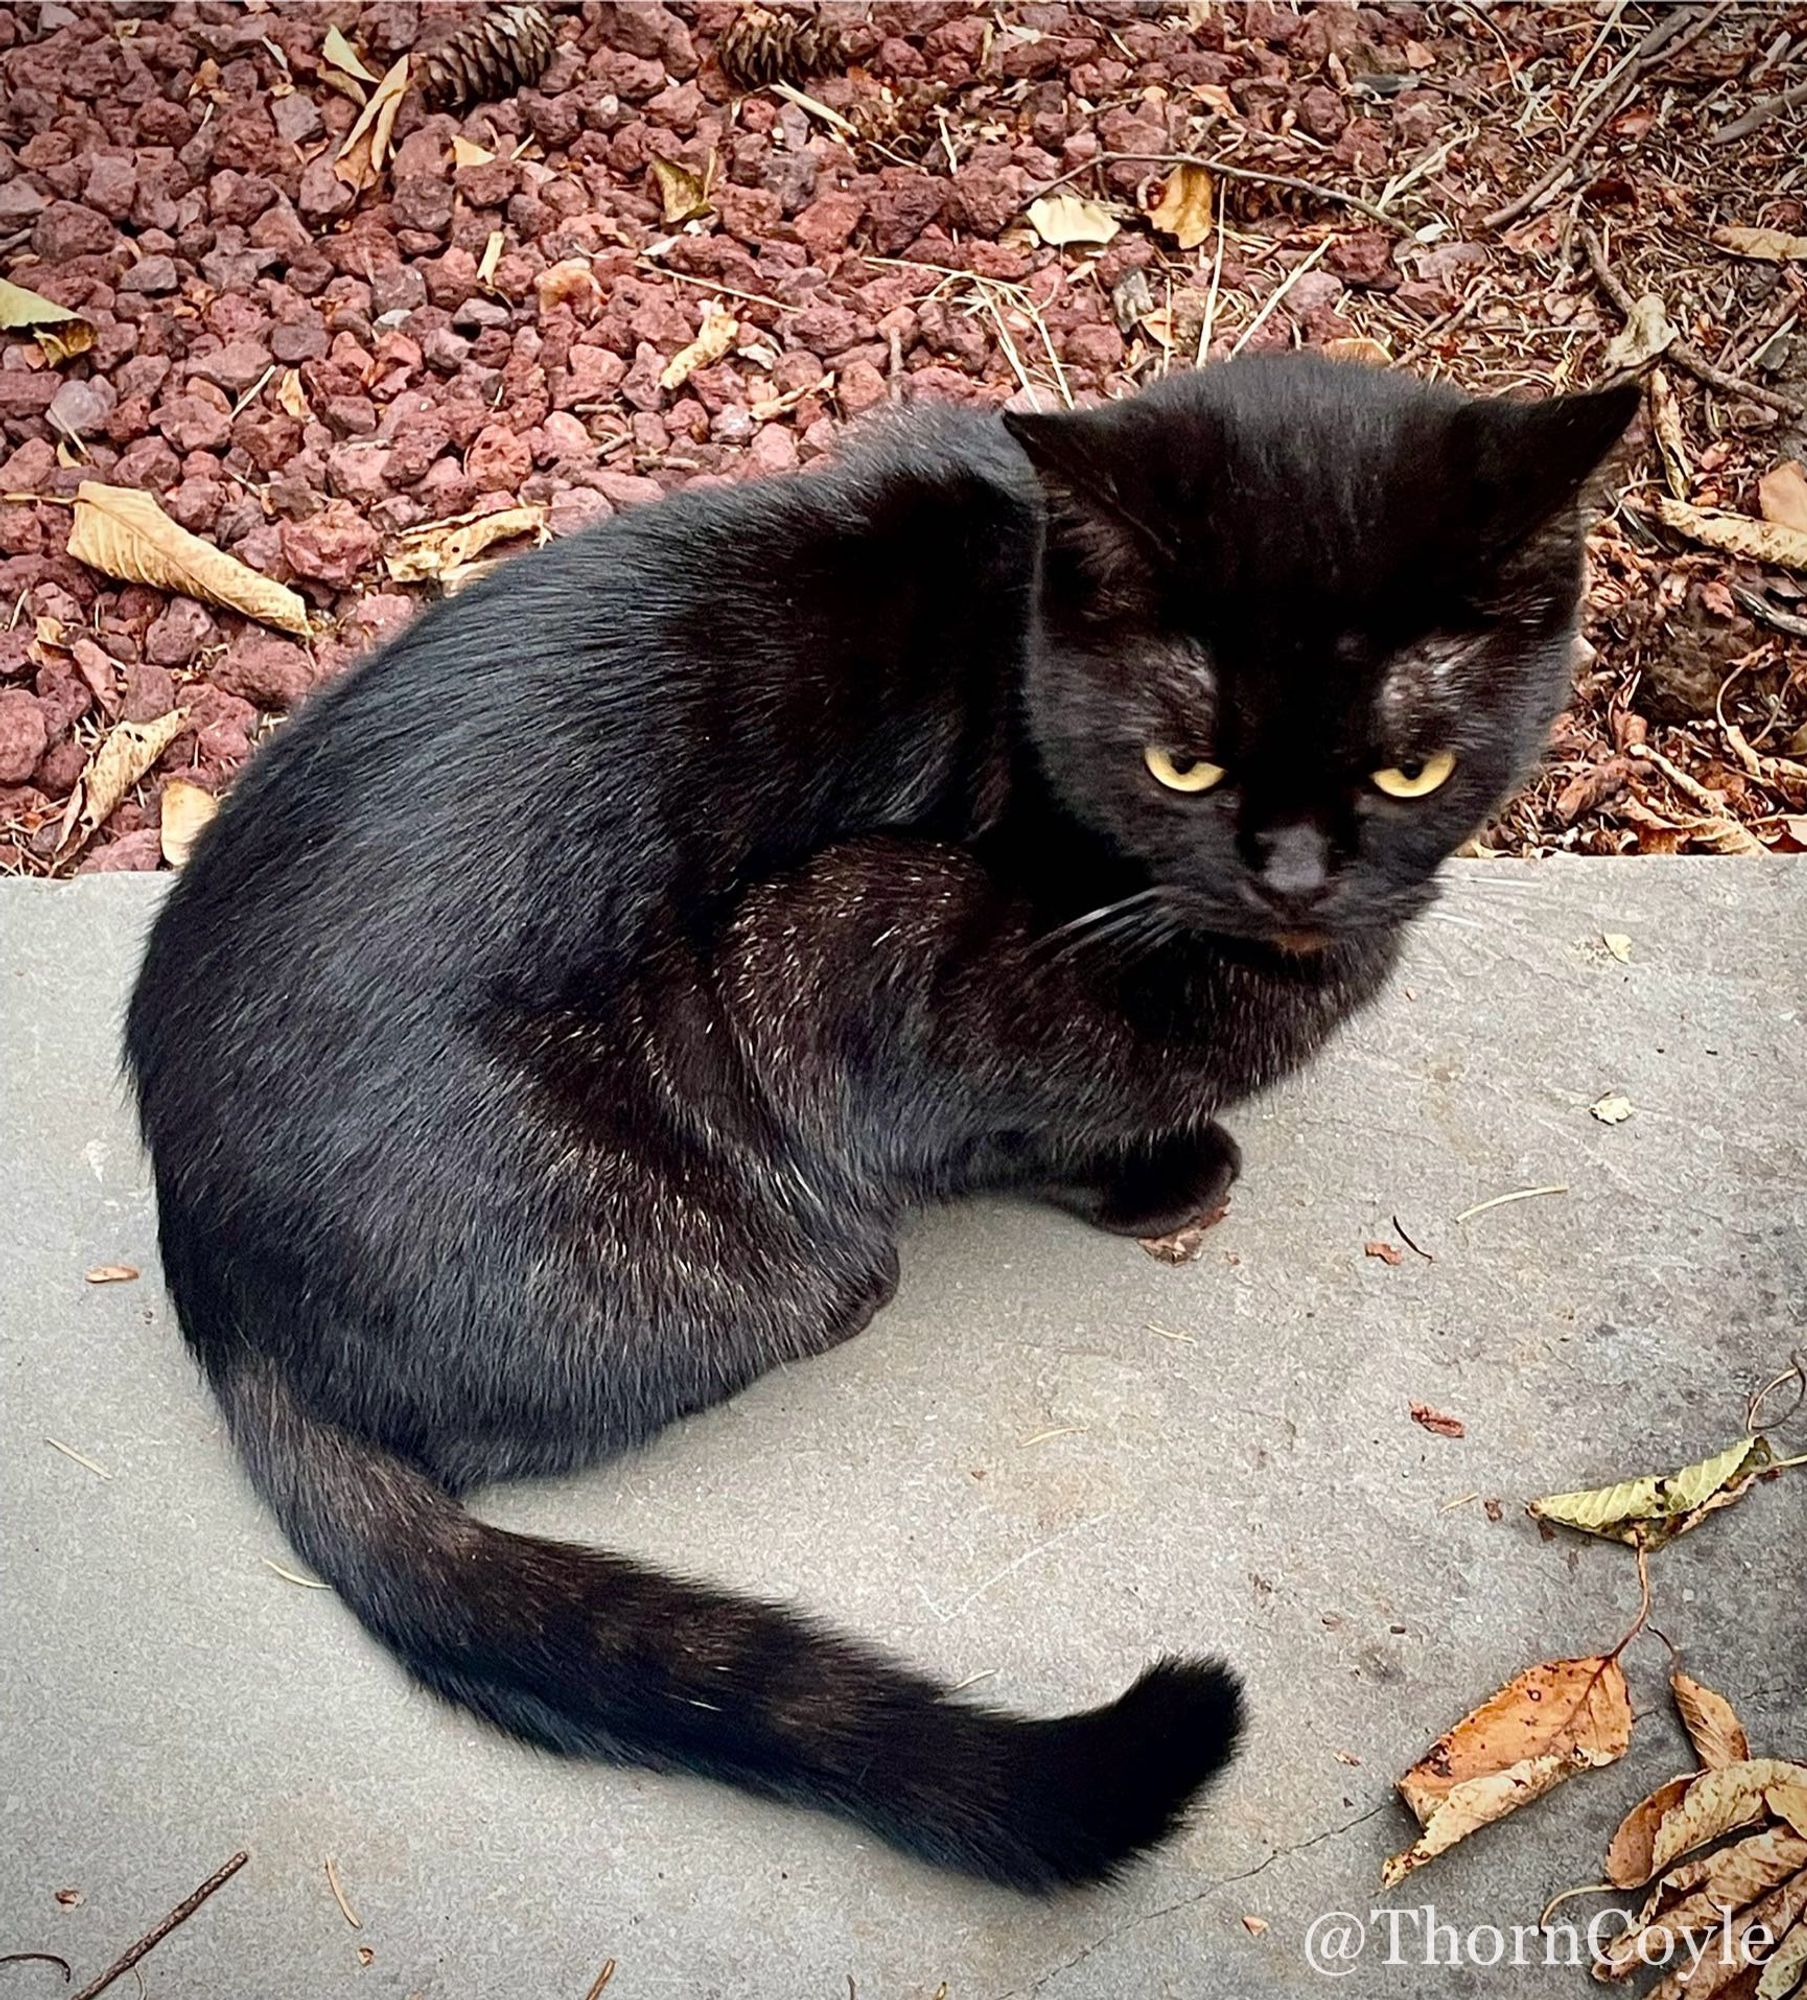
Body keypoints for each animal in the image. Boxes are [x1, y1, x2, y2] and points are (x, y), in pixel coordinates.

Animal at [119, 356, 1631, 1888]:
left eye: (1407, 772)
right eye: (1183, 769)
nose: (1297, 877)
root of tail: (219, 1305)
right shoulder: (865, 948)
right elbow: (1024, 1121)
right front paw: (1160, 1173)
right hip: (720, 1223)